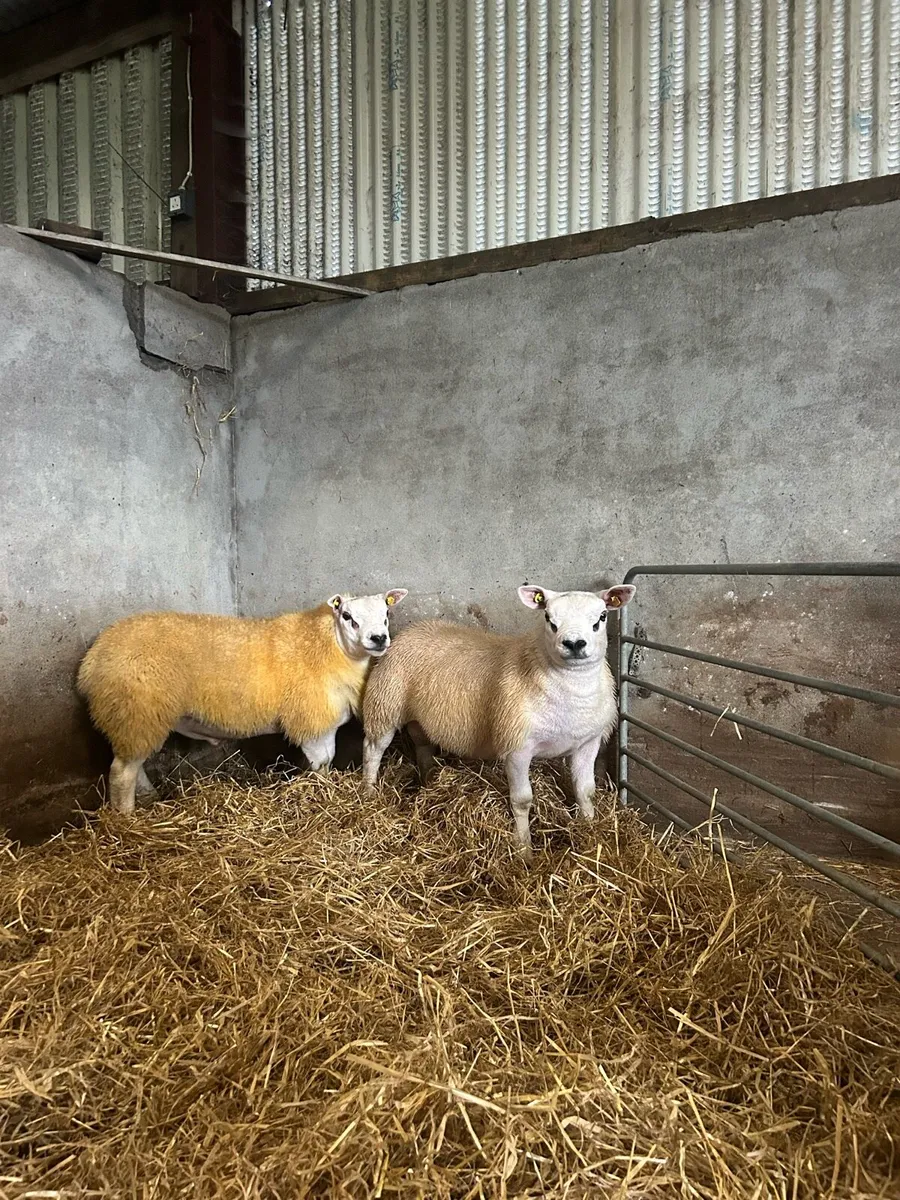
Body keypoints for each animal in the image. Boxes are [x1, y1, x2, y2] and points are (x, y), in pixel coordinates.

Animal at [77, 590, 408, 815]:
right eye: (347, 617)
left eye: (386, 613)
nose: (379, 638)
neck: (330, 647)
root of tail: (94, 656)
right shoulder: (311, 719)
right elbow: (322, 762)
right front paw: (321, 793)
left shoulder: (323, 721)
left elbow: (324, 762)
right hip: (136, 710)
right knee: (121, 773)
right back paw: (126, 816)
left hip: (137, 717)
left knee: (132, 764)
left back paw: (148, 797)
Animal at [362, 584, 636, 860]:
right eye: (548, 618)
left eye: (602, 617)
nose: (574, 643)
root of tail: (416, 627)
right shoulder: (516, 746)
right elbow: (522, 800)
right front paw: (524, 849)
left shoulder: (588, 743)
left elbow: (585, 790)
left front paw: (589, 829)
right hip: (384, 704)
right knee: (373, 749)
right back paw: (369, 791)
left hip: (418, 718)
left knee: (422, 745)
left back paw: (427, 781)